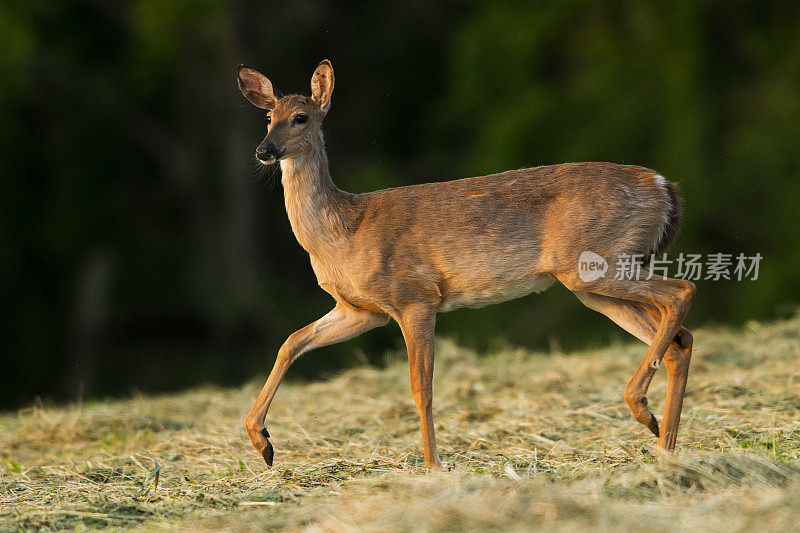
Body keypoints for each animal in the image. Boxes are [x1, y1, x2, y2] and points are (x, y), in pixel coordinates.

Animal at [236, 58, 692, 468]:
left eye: (300, 117)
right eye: (267, 118)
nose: (263, 150)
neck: (342, 231)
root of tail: (663, 186)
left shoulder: (415, 297)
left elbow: (421, 387)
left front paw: (433, 466)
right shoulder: (362, 309)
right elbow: (291, 341)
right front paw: (263, 443)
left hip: (594, 262)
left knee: (682, 292)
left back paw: (643, 411)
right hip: (591, 283)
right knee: (679, 341)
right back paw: (663, 447)